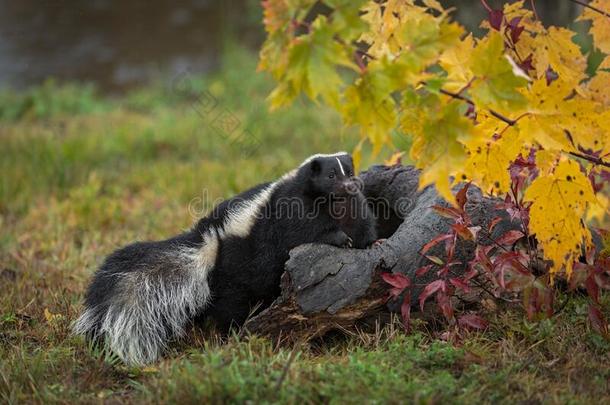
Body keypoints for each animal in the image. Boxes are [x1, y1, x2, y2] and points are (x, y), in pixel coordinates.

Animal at [74, 151, 378, 362]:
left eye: (350, 170)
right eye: (331, 176)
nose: (352, 184)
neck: (334, 203)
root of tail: (208, 246)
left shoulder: (353, 208)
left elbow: (363, 226)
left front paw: (371, 242)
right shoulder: (291, 210)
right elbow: (305, 232)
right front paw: (339, 238)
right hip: (236, 272)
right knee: (229, 307)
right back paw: (226, 334)